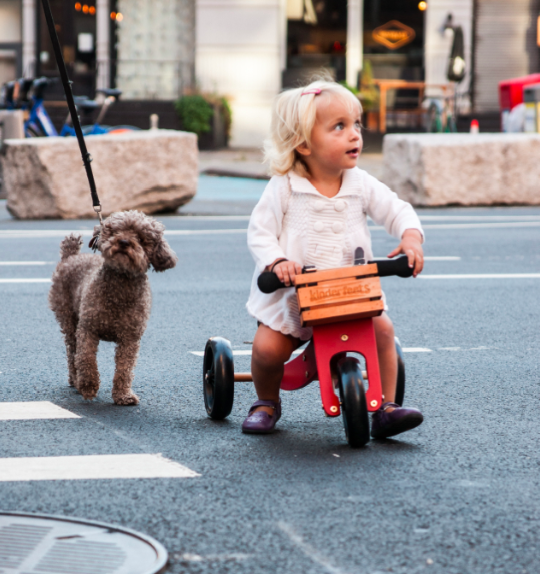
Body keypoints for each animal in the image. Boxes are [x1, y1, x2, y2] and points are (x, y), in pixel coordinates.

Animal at [48, 210, 177, 404]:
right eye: (115, 231)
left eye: (141, 238)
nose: (123, 242)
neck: (120, 286)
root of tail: (70, 257)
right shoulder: (87, 329)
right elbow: (86, 358)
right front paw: (88, 386)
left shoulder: (130, 338)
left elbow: (125, 368)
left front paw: (123, 395)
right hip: (68, 318)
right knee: (72, 353)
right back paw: (77, 381)